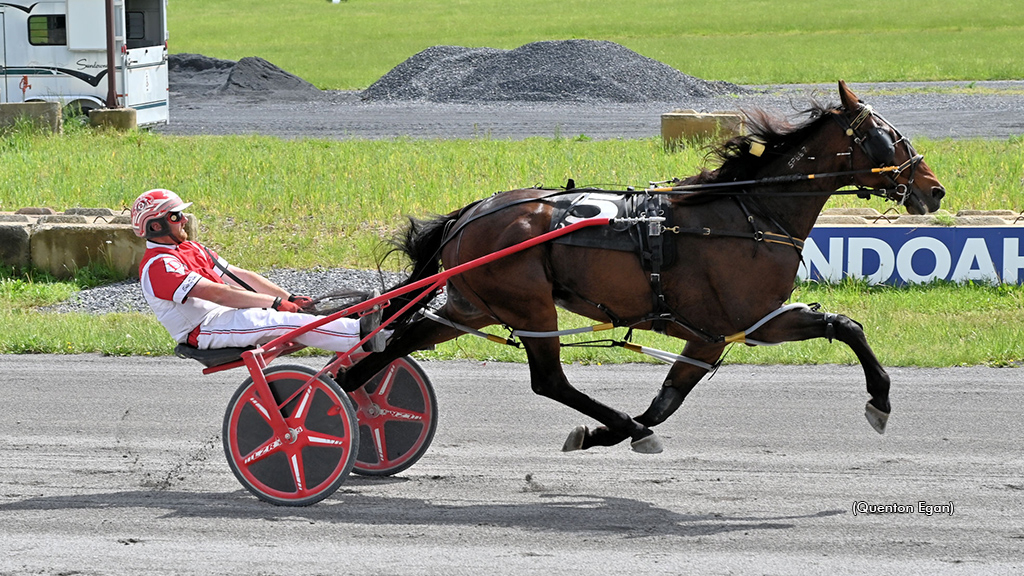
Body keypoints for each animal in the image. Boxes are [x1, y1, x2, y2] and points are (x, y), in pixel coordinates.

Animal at [339, 79, 946, 453]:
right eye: (888, 135)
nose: (933, 188)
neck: (748, 210)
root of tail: (472, 212)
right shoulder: (741, 322)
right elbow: (844, 326)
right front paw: (880, 400)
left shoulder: (720, 334)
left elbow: (668, 400)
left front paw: (608, 435)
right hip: (528, 306)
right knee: (548, 379)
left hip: (472, 307)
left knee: (397, 343)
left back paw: (343, 394)